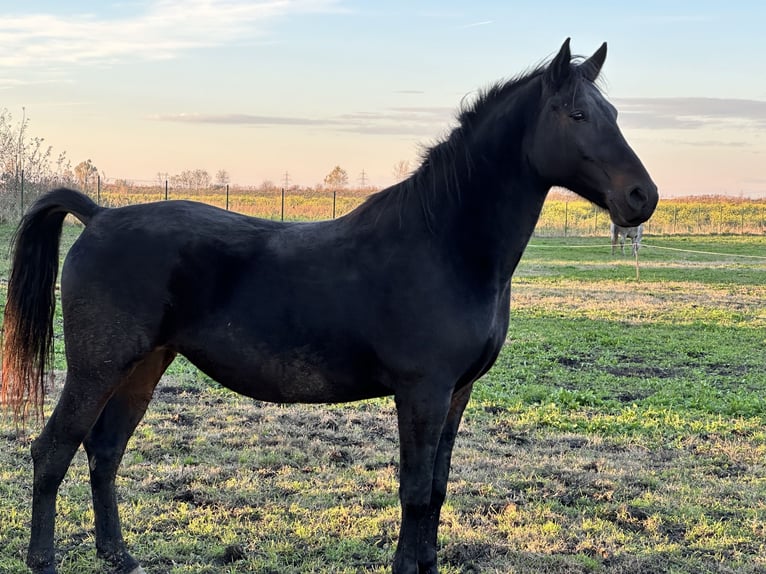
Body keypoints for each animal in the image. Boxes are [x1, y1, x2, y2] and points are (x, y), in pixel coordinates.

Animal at [1, 40, 660, 574]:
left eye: (615, 115)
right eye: (575, 114)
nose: (641, 197)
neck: (444, 244)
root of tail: (100, 215)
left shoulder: (457, 393)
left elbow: (438, 489)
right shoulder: (422, 392)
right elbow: (415, 490)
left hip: (144, 365)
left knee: (104, 450)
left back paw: (119, 555)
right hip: (98, 367)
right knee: (53, 450)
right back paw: (44, 560)